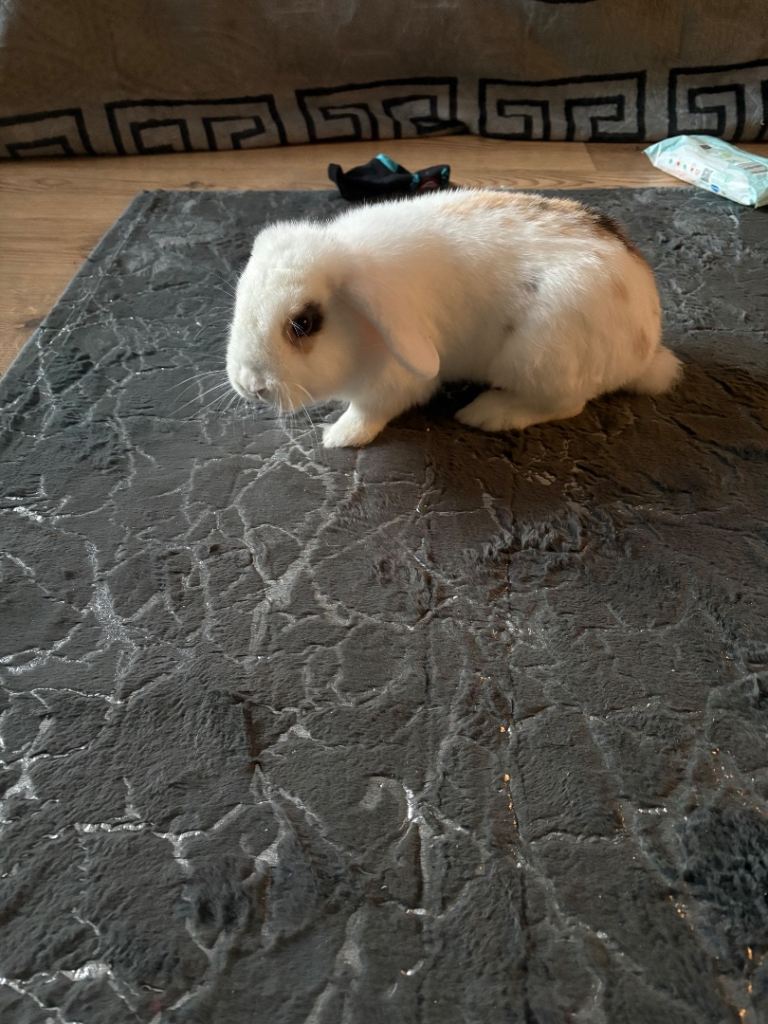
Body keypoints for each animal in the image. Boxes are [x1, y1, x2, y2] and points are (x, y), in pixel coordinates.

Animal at [226, 188, 682, 448]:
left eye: (303, 323)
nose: (251, 385)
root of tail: (646, 349)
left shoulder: (391, 380)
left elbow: (369, 412)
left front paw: (337, 437)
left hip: (539, 358)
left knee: (565, 405)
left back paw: (487, 413)